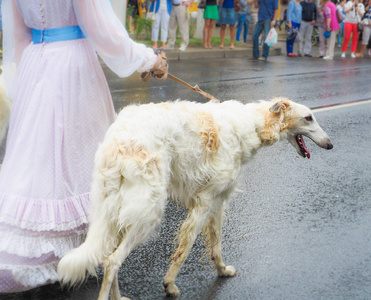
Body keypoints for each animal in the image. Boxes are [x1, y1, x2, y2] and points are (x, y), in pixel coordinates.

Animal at [58, 97, 334, 298]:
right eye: (309, 117)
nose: (331, 145)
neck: (253, 124)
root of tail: (118, 141)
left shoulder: (219, 201)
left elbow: (216, 244)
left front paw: (222, 270)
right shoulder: (205, 200)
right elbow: (186, 247)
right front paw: (170, 284)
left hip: (115, 213)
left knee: (109, 259)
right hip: (148, 213)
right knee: (112, 262)